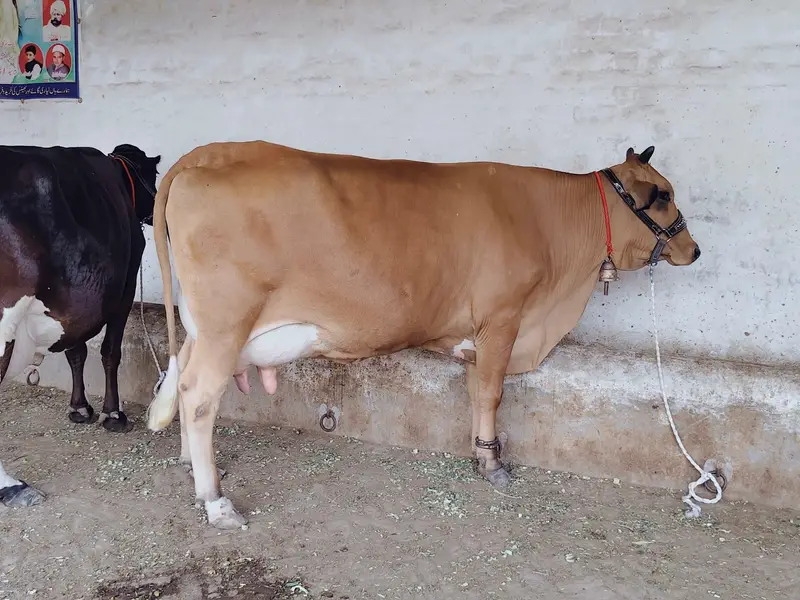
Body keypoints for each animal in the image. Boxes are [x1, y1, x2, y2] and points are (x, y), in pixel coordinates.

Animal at [0, 144, 161, 505]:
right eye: (156, 174)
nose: (157, 205)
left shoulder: (76, 305)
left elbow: (76, 353)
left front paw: (79, 409)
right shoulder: (124, 286)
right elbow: (110, 351)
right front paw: (113, 414)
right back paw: (11, 485)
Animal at [144, 141, 699, 529]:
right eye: (665, 196)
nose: (694, 250)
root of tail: (207, 154)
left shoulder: (482, 331)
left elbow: (476, 390)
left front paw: (480, 452)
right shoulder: (504, 318)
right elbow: (492, 392)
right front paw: (492, 464)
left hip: (200, 327)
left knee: (182, 381)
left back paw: (189, 463)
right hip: (225, 324)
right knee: (199, 395)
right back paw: (216, 502)